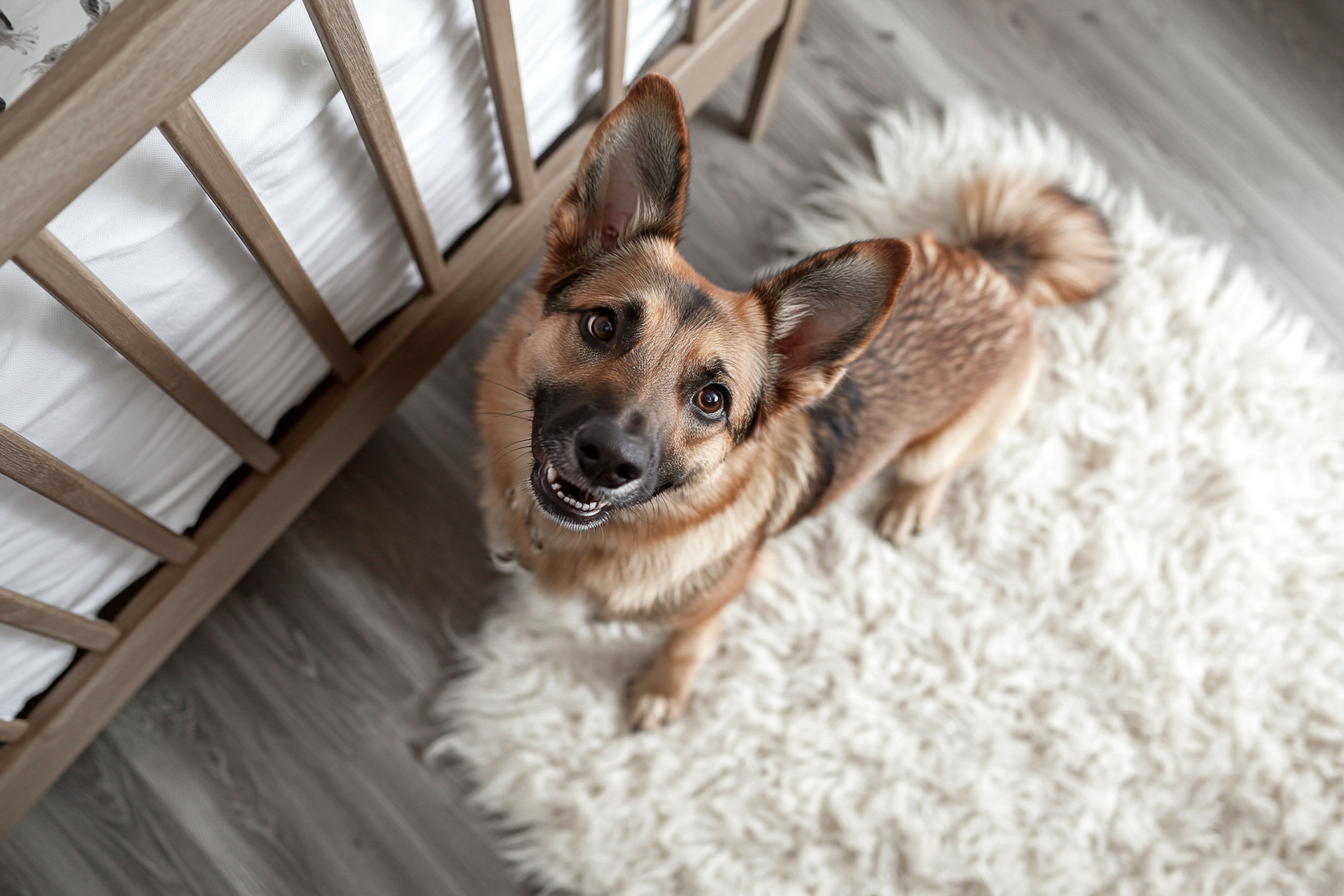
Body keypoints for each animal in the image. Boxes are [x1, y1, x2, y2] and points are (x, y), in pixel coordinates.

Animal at [473, 73, 1112, 730]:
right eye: (602, 326)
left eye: (712, 399)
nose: (607, 460)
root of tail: (1000, 268)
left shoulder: (720, 596)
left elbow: (687, 641)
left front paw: (662, 689)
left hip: (937, 446)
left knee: (935, 469)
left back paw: (909, 503)